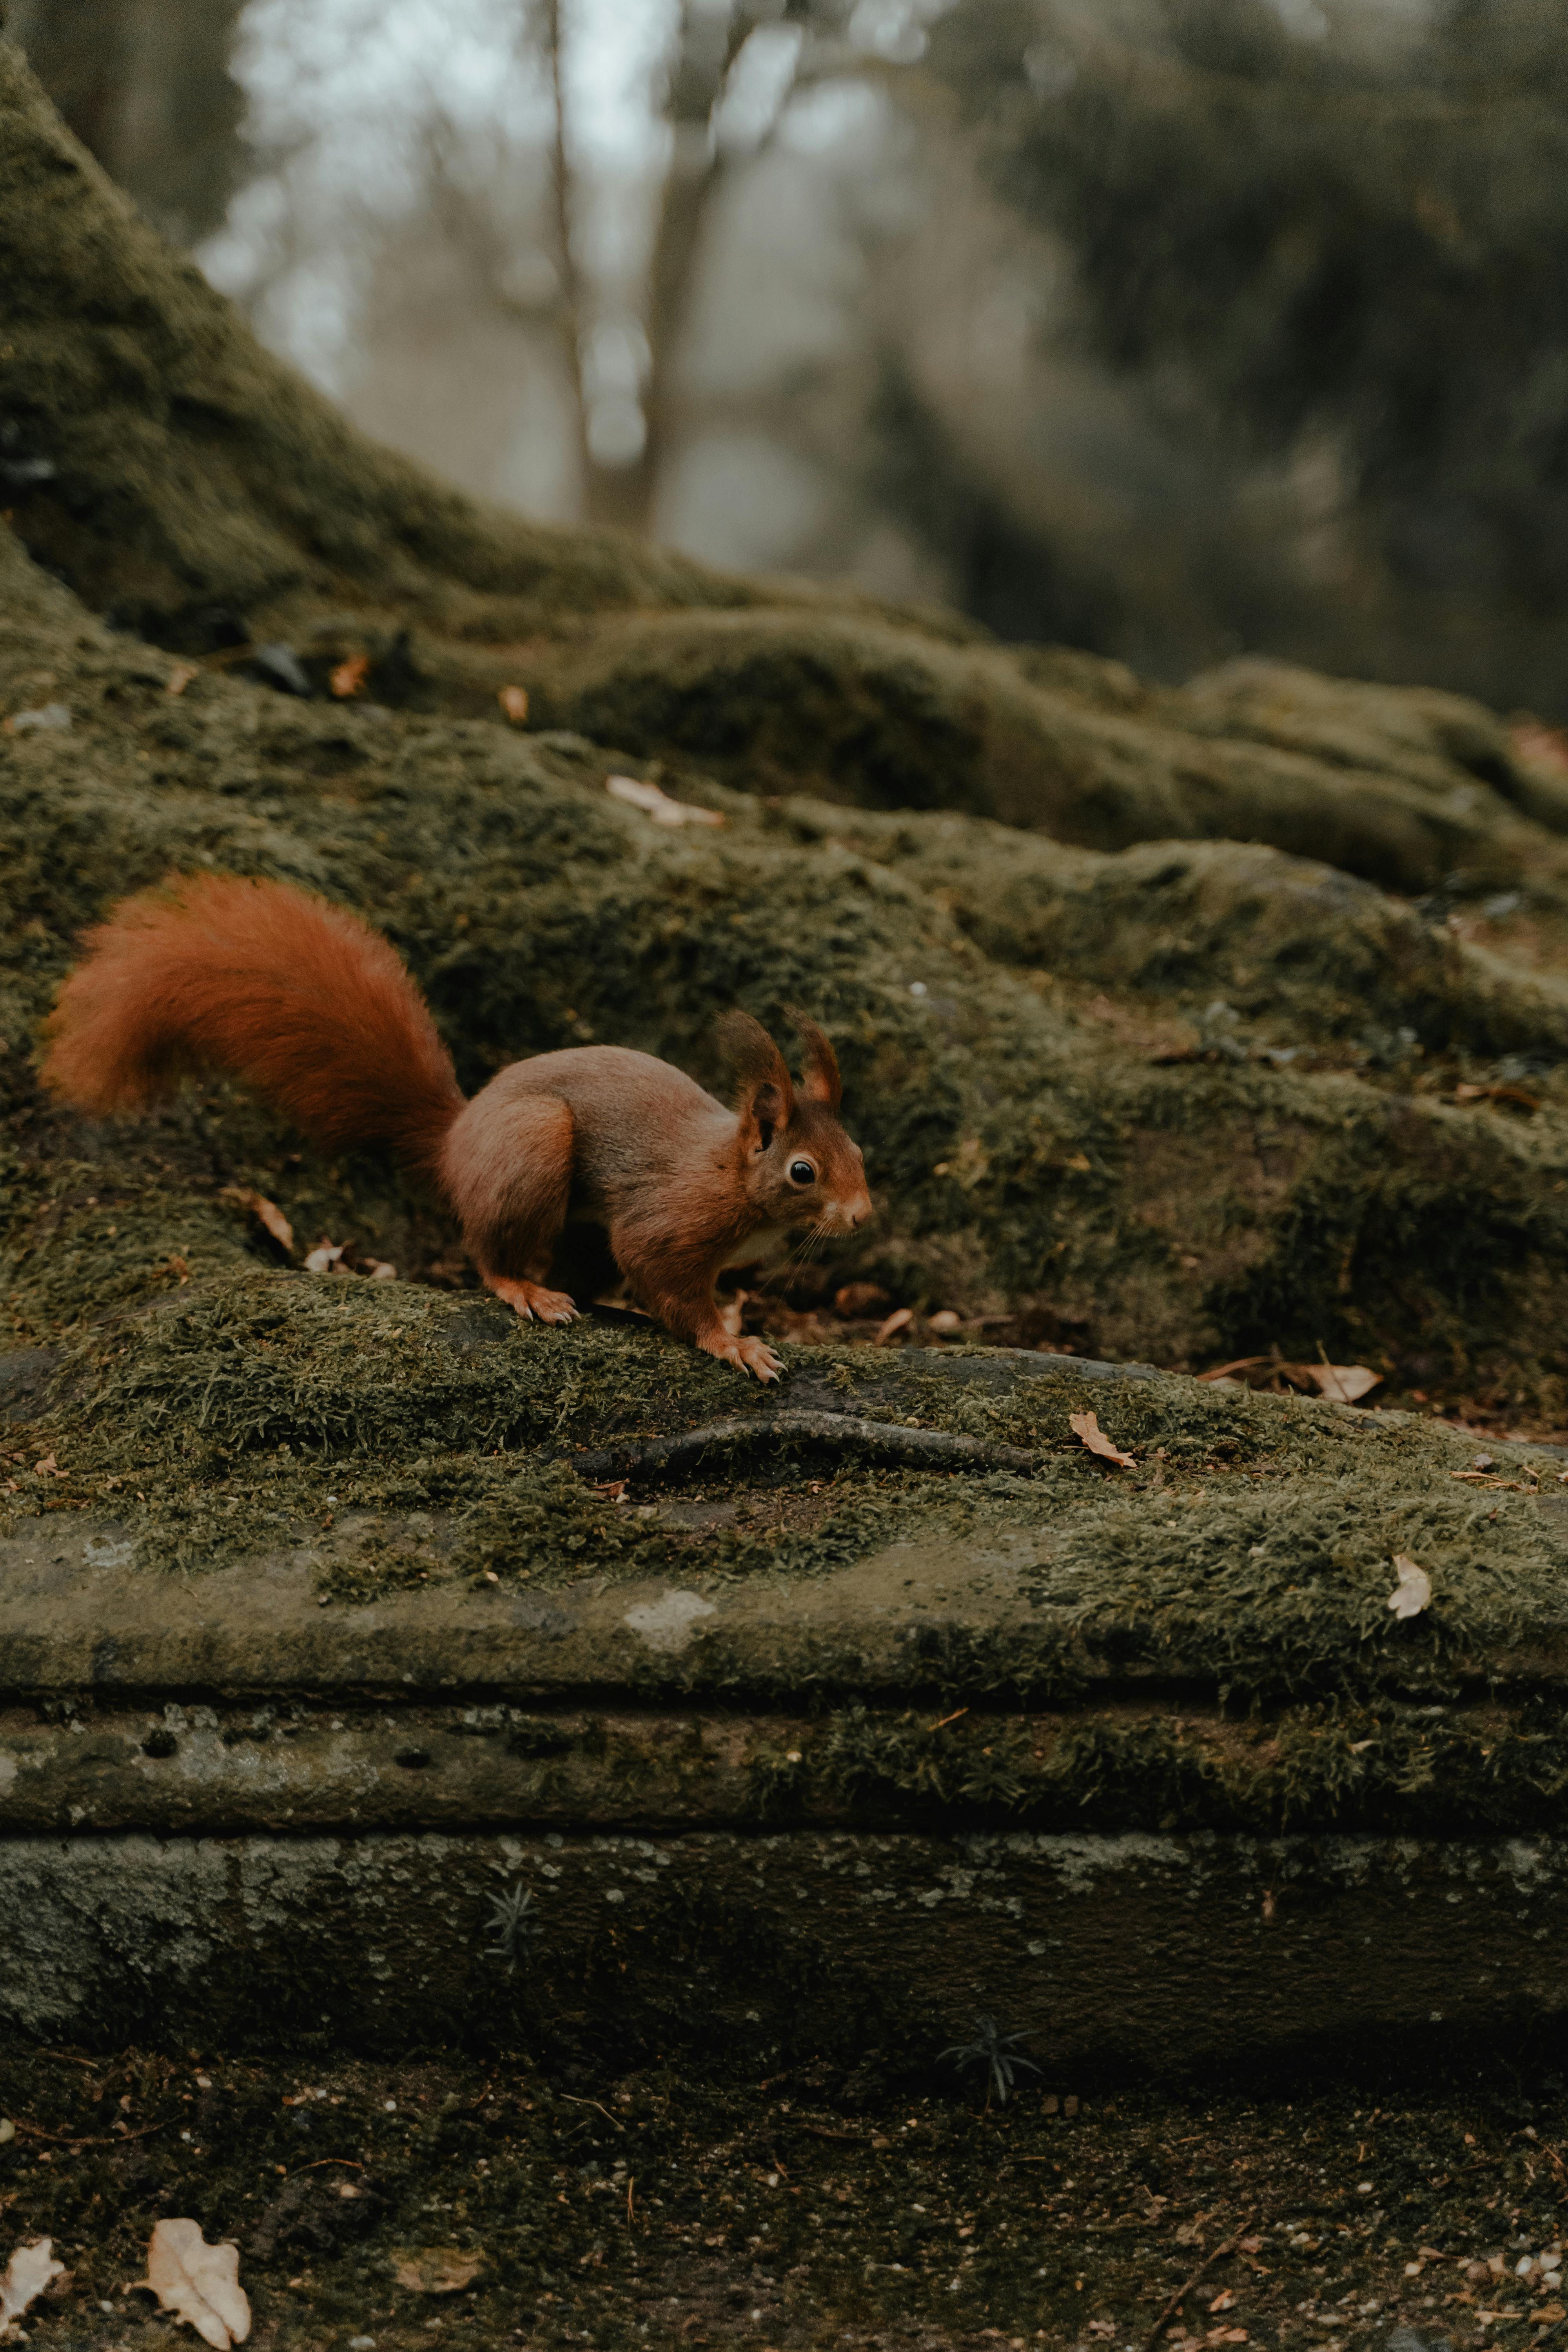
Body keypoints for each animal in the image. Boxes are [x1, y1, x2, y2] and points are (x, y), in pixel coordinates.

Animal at [41, 873, 873, 1382]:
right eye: (802, 1171)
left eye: (859, 1151)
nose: (863, 1216)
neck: (735, 1175)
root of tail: (456, 1137)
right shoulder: (671, 1220)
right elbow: (667, 1280)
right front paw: (734, 1343)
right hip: (534, 1146)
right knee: (492, 1256)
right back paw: (529, 1291)